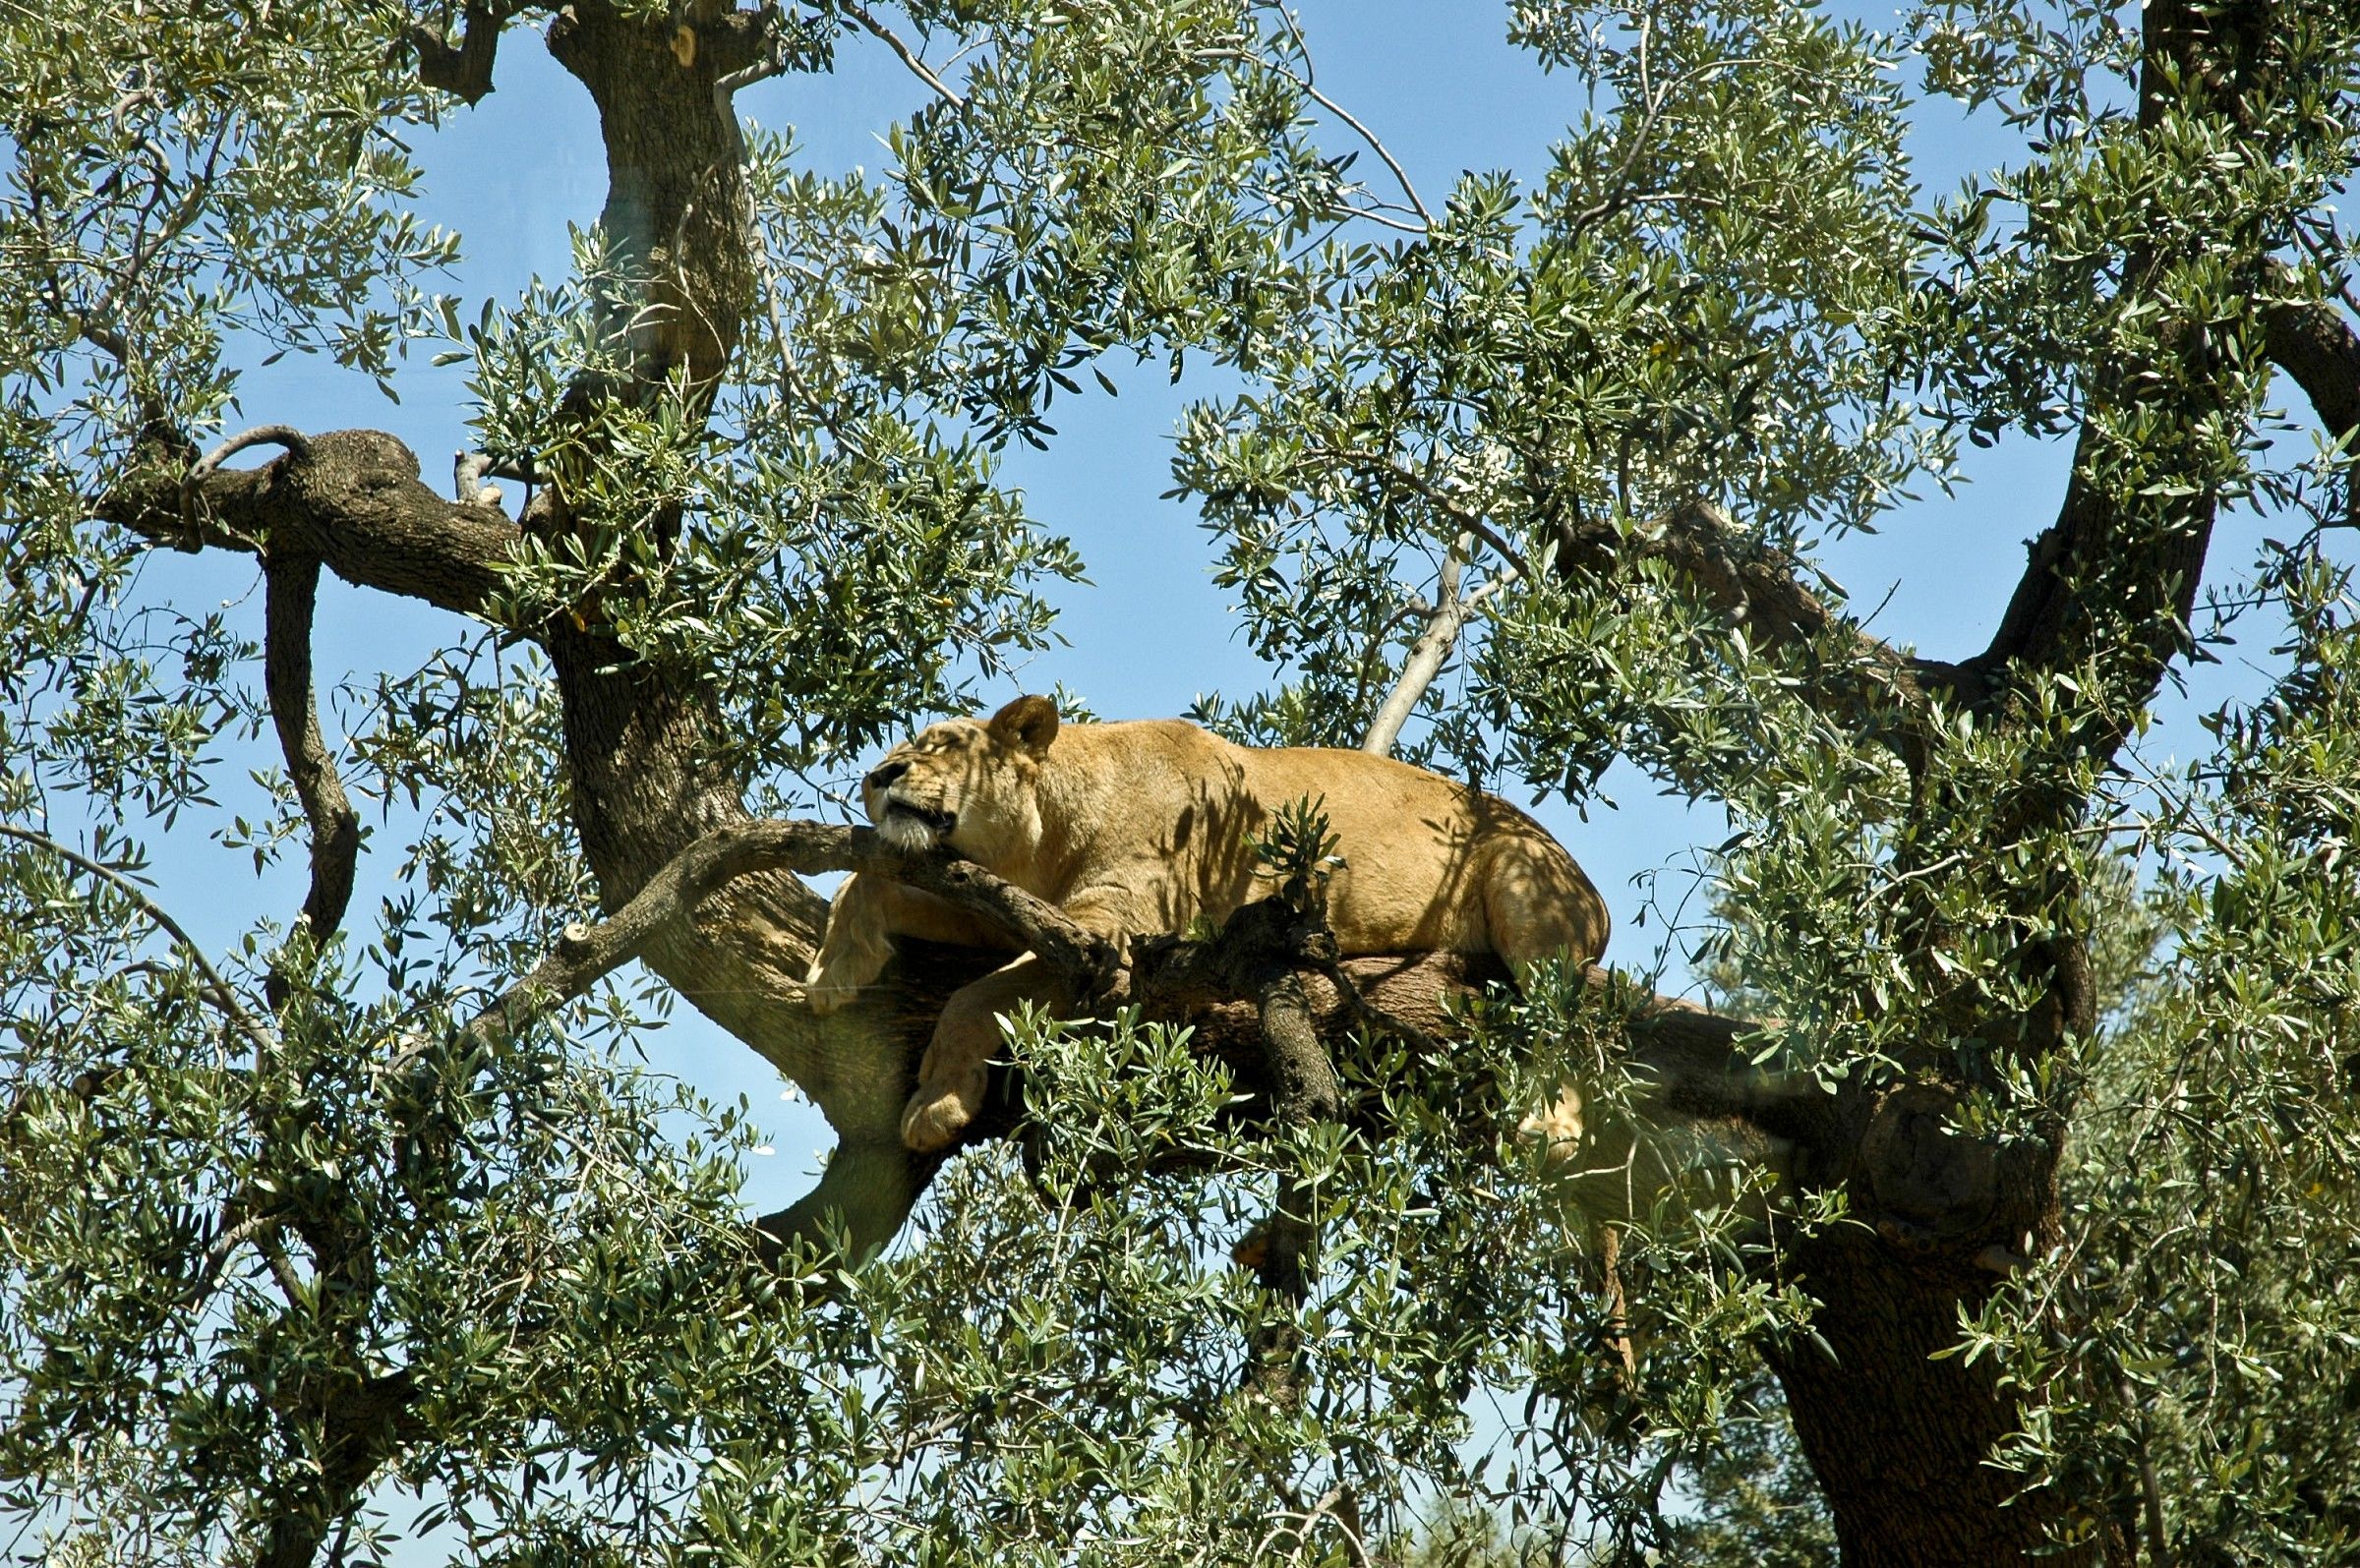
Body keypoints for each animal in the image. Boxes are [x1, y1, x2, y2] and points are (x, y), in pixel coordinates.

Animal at [804, 694, 1611, 1154]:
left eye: (942, 745)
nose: (878, 776)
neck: (1036, 846)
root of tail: (1594, 895)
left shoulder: (1105, 937)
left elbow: (975, 999)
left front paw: (935, 1103)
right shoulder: (1010, 910)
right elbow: (866, 878)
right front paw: (830, 971)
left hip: (1524, 883)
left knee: (1565, 1022)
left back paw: (1553, 1127)